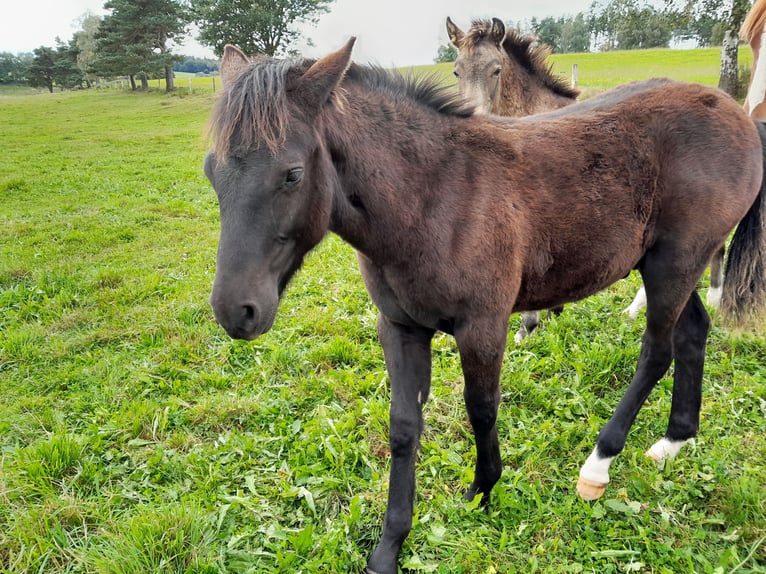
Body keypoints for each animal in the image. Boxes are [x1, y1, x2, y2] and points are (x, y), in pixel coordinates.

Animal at [204, 40, 766, 574]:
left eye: (293, 174)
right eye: (211, 172)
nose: (236, 310)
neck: (433, 197)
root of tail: (740, 117)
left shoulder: (483, 325)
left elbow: (481, 407)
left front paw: (484, 488)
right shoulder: (400, 327)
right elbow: (404, 428)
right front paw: (389, 546)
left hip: (674, 265)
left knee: (656, 351)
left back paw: (598, 465)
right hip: (670, 267)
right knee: (692, 331)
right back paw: (674, 441)